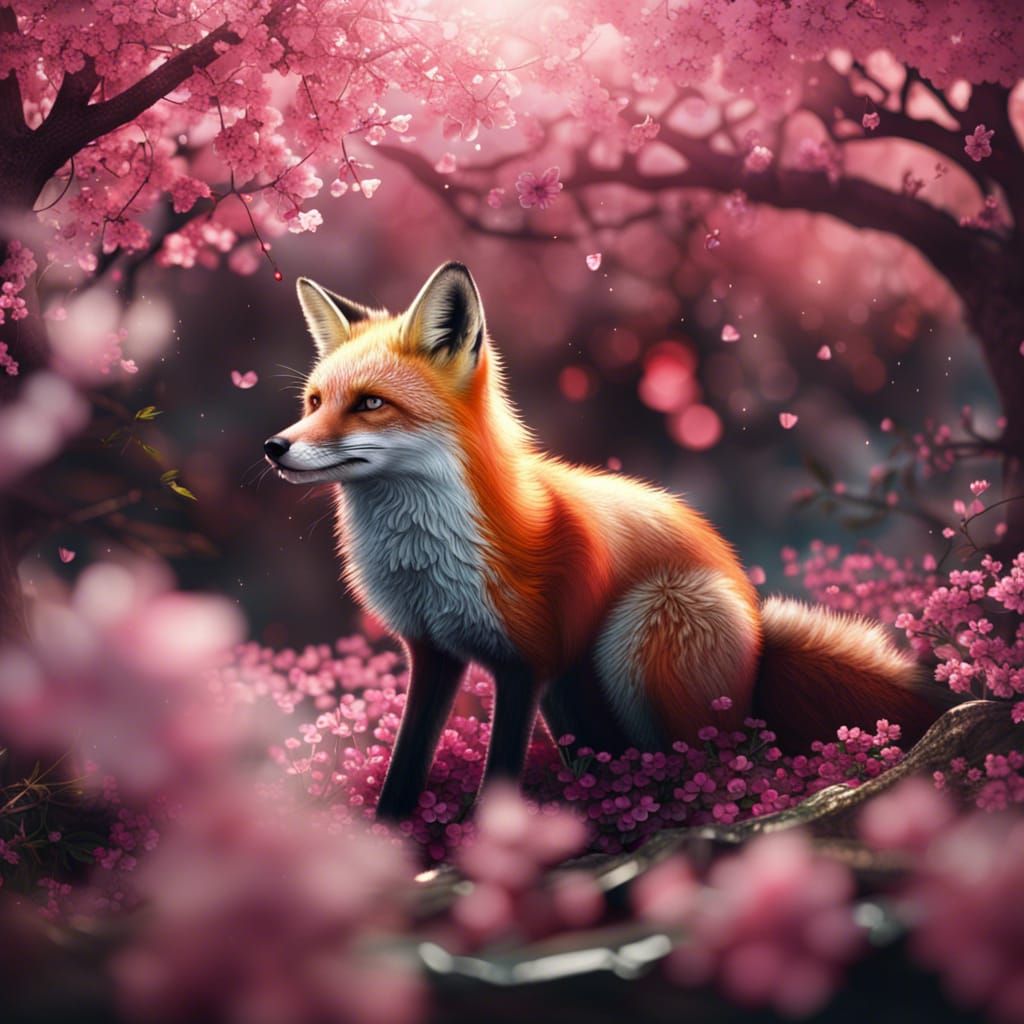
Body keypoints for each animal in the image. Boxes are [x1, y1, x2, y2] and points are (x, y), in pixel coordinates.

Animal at [265, 261, 944, 821]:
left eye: (370, 404)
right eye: (314, 401)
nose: (275, 446)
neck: (425, 561)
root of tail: (757, 628)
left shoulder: (527, 661)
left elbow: (501, 775)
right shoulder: (433, 652)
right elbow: (405, 768)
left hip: (643, 629)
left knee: (713, 764)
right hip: (575, 691)